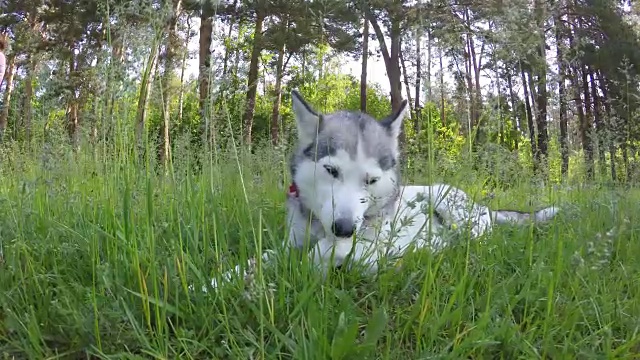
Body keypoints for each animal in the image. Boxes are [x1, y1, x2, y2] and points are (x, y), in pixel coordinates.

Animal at [192, 90, 556, 292]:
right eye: (331, 170)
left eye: (370, 180)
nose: (344, 228)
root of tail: (484, 206)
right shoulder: (289, 243)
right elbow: (259, 259)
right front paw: (214, 284)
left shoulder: (370, 245)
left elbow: (322, 254)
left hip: (451, 207)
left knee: (478, 239)